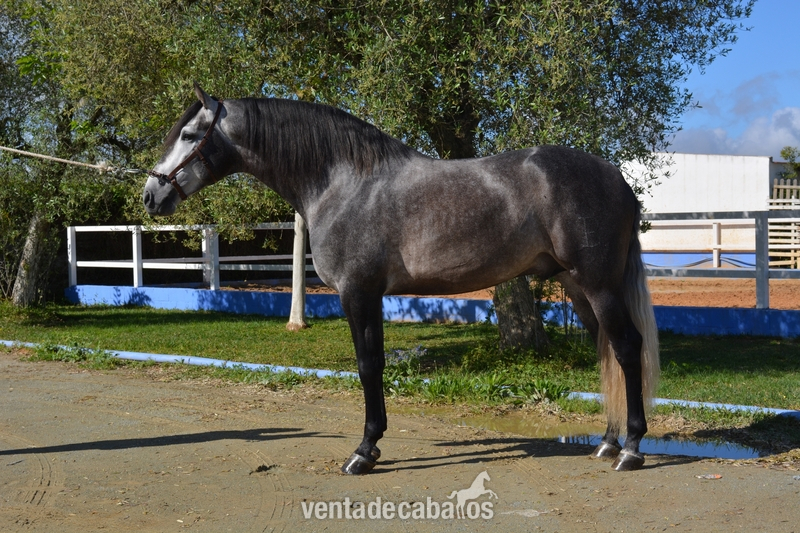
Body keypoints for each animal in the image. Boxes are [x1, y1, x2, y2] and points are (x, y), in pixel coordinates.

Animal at [143, 83, 659, 474]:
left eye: (189, 133)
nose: (150, 195)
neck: (343, 182)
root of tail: (616, 179)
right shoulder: (367, 295)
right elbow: (374, 366)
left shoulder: (359, 293)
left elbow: (369, 366)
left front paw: (364, 451)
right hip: (578, 288)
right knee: (606, 351)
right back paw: (608, 442)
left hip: (598, 285)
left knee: (626, 348)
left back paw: (632, 449)